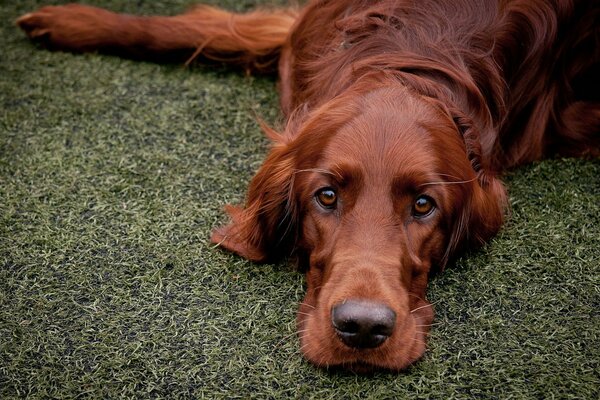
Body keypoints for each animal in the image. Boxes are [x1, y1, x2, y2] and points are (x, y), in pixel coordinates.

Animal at [16, 1, 596, 372]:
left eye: (424, 205)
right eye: (327, 196)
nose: (362, 328)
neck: (405, 59)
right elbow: (206, 30)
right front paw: (67, 22)